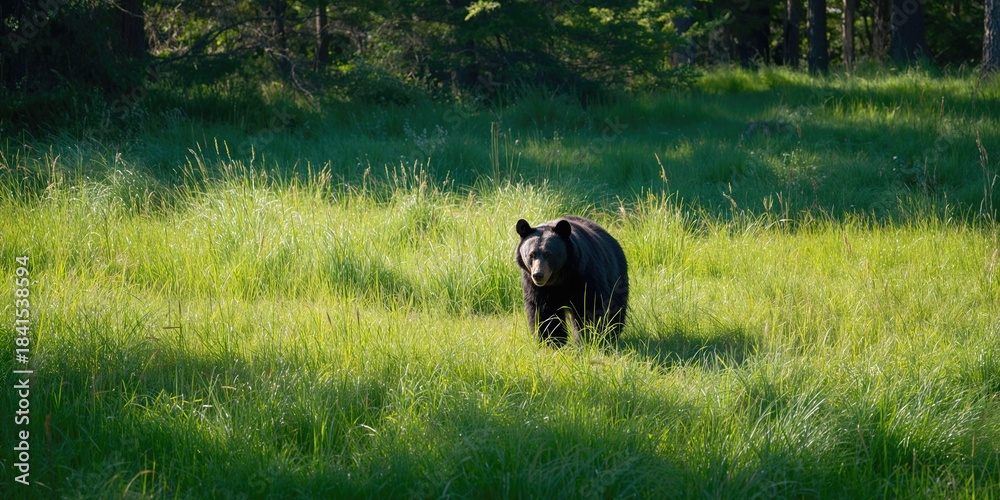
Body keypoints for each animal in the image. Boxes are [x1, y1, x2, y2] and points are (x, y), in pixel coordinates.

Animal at [515, 216, 629, 346]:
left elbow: (591, 304)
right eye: (531, 255)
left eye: (549, 254)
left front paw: (589, 337)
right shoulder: (536, 287)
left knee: (616, 305)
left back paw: (613, 333)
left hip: (617, 276)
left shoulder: (584, 274)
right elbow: (543, 311)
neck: (559, 279)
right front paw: (552, 341)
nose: (538, 275)